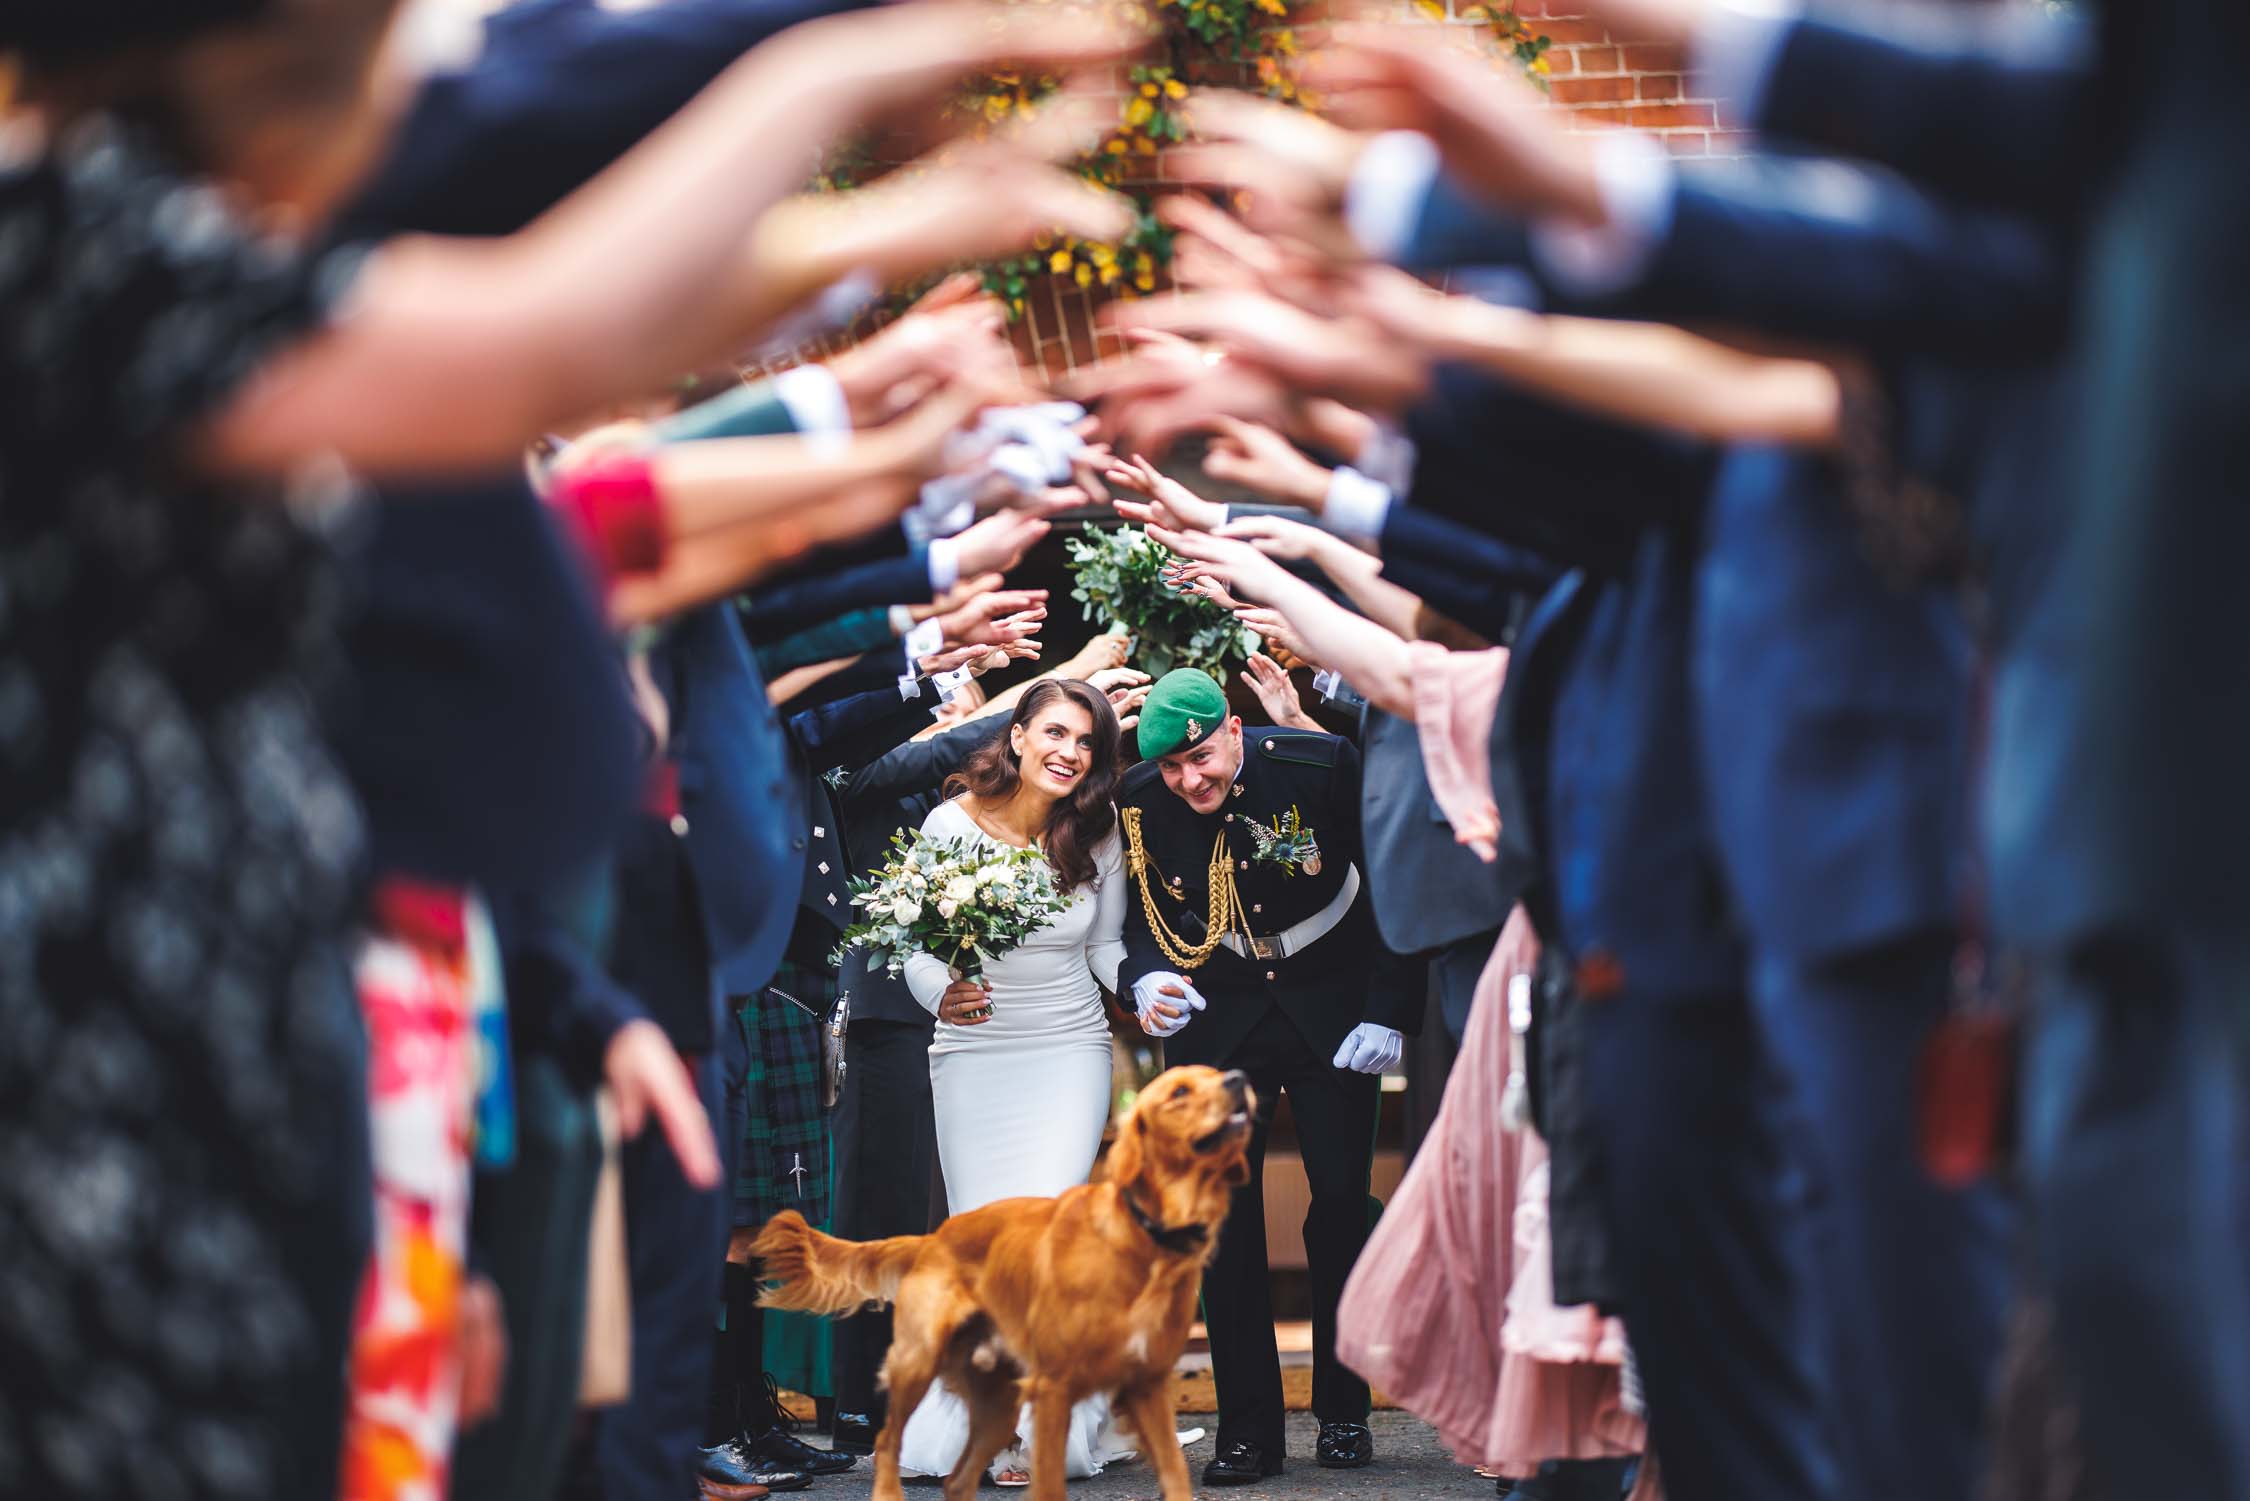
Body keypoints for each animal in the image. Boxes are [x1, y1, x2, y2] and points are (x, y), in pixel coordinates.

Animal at [751, 1062, 1251, 1501]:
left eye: (1214, 1073)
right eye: (1179, 1091)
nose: (1238, 1079)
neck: (1142, 1238)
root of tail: (934, 1237)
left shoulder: (1148, 1384)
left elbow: (1175, 1475)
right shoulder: (1053, 1388)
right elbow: (1049, 1486)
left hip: (998, 1400)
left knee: (958, 1480)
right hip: (918, 1363)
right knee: (887, 1441)